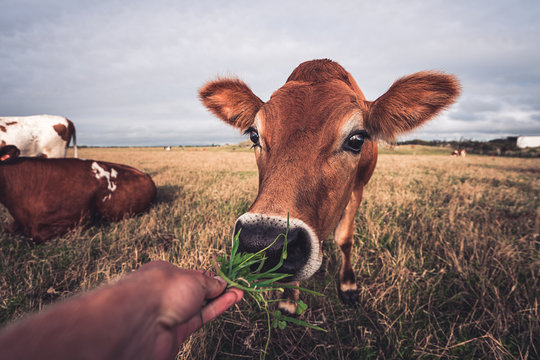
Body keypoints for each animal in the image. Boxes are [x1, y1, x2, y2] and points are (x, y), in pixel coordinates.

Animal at [199, 57, 460, 314]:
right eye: (254, 135)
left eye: (357, 139)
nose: (264, 243)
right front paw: (289, 298)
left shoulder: (358, 187)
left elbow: (344, 238)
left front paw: (347, 285)